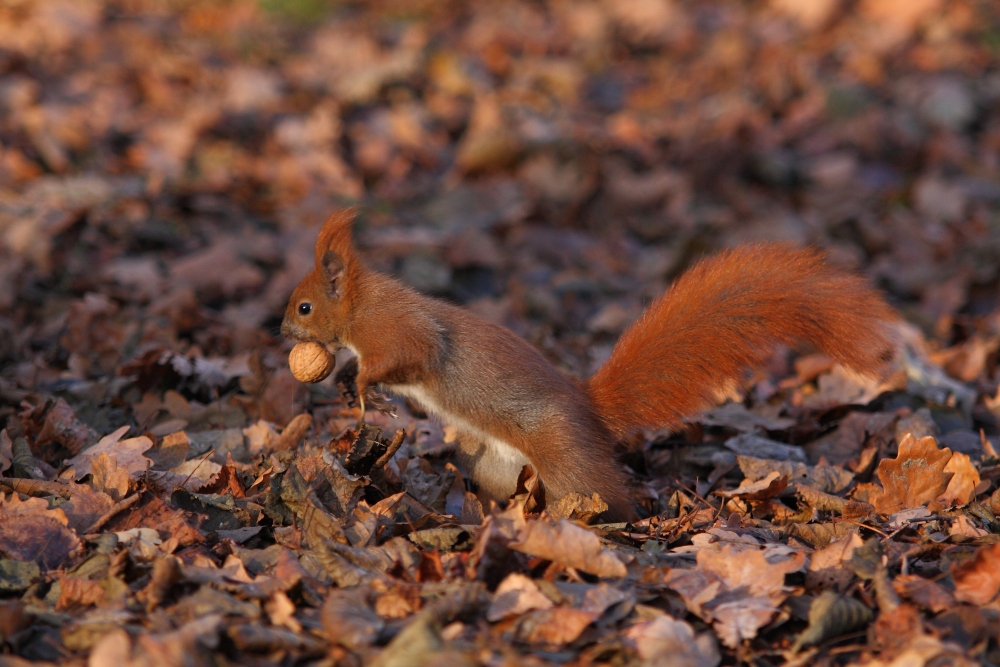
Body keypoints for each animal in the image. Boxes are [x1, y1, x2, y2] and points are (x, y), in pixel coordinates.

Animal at [284, 209, 900, 520]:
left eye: (305, 306)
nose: (283, 332)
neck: (363, 305)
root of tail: (591, 408)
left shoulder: (399, 331)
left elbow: (404, 356)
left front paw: (362, 385)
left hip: (565, 456)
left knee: (609, 494)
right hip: (497, 462)